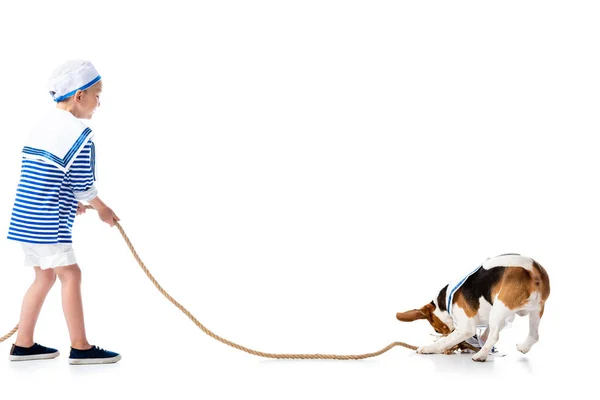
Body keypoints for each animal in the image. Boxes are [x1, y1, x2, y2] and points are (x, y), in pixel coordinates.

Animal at [396, 253, 552, 362]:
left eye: (436, 330)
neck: (445, 301)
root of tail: (532, 268)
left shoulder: (466, 327)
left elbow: (446, 340)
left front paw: (429, 348)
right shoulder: (506, 317)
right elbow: (484, 335)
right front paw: (474, 345)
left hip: (499, 309)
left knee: (495, 336)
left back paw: (481, 355)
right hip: (535, 311)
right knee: (534, 335)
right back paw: (523, 347)